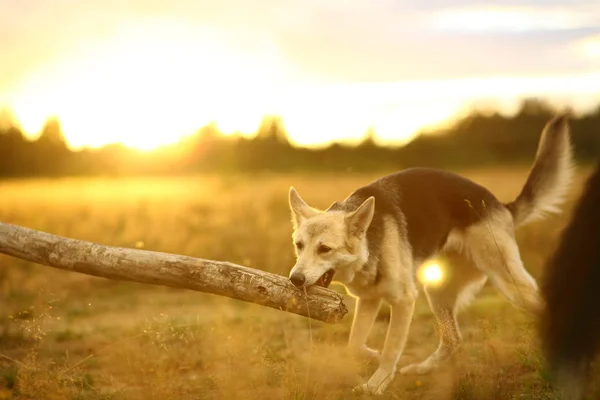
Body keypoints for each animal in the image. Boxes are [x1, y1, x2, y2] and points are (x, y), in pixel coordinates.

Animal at [288, 115, 576, 394]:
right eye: (299, 246)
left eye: (325, 249)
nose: (294, 280)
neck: (369, 244)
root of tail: (500, 206)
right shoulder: (369, 300)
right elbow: (355, 344)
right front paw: (374, 357)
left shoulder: (404, 301)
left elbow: (391, 348)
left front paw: (377, 384)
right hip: (437, 290)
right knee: (453, 340)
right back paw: (421, 369)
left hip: (509, 283)